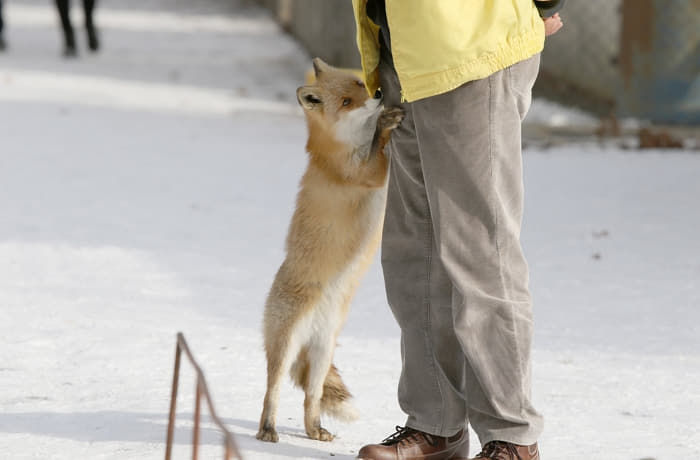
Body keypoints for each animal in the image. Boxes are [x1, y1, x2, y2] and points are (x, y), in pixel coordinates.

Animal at [256, 57, 404, 442]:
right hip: (286, 346)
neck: (337, 149)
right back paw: (267, 430)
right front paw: (385, 124)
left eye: (358, 83)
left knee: (311, 397)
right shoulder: (367, 173)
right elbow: (378, 150)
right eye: (346, 103)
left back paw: (315, 431)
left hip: (322, 355)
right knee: (272, 391)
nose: (379, 93)